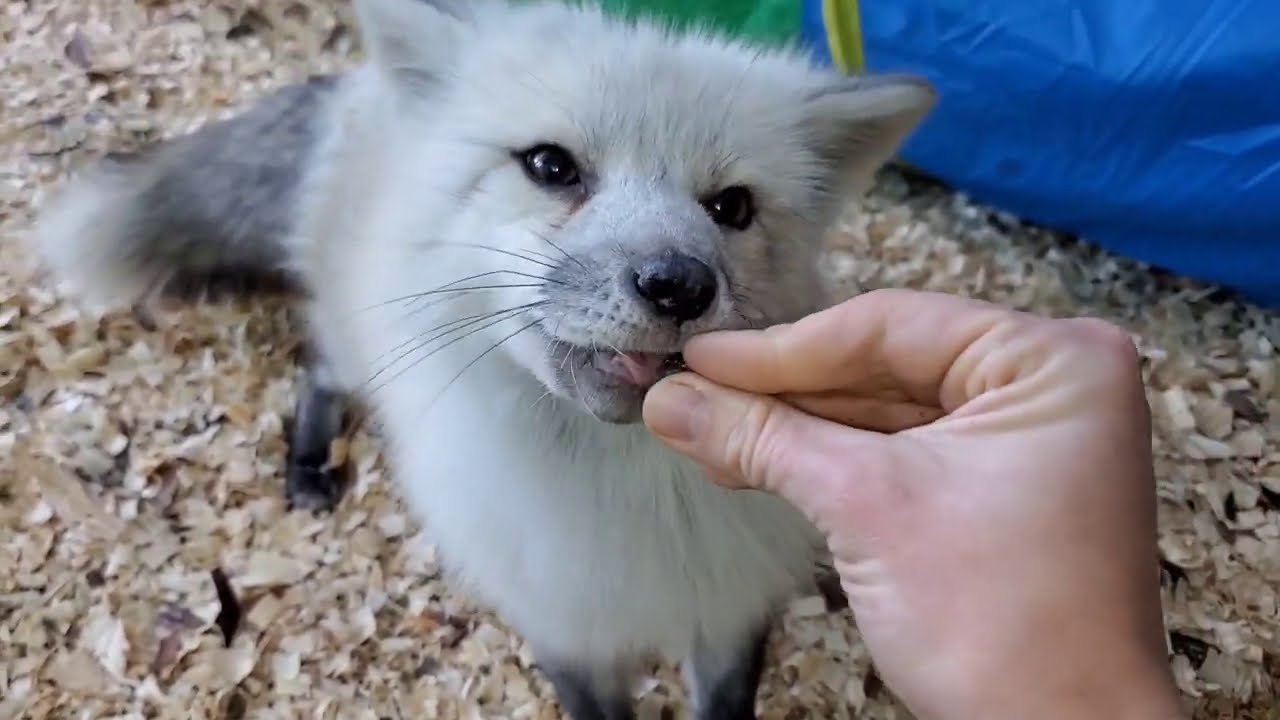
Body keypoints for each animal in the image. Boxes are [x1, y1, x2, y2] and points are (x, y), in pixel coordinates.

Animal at [29, 0, 936, 717]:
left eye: (733, 208)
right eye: (551, 166)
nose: (679, 285)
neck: (627, 504)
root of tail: (359, 88)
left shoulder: (728, 607)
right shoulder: (558, 621)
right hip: (358, 342)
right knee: (319, 368)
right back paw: (310, 462)